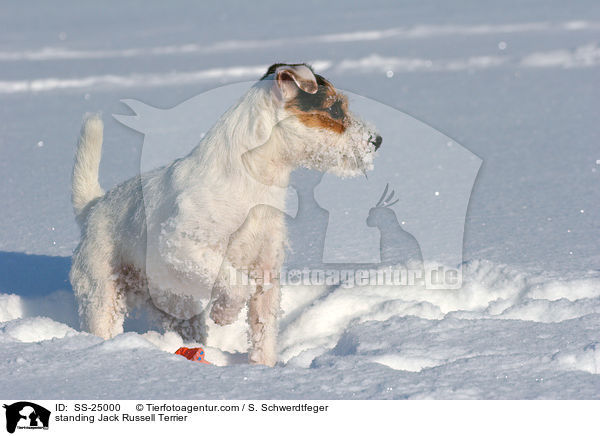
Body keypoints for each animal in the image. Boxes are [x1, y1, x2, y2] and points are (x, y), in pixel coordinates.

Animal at [69, 63, 380, 366]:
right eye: (335, 109)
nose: (377, 140)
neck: (253, 180)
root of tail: (94, 206)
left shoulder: (266, 271)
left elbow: (264, 330)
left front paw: (264, 368)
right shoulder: (181, 247)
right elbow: (235, 282)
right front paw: (224, 314)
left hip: (175, 304)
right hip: (102, 295)